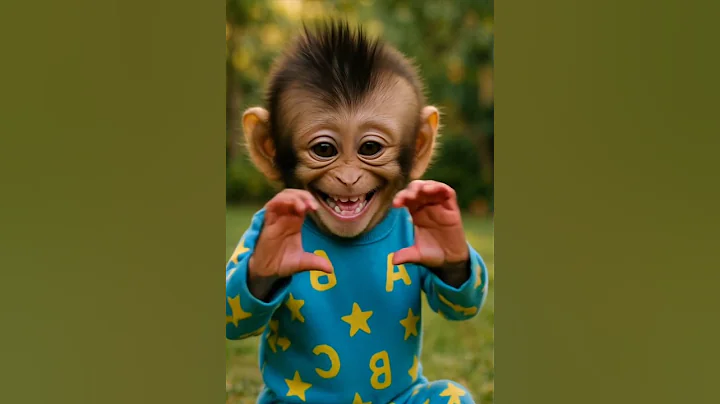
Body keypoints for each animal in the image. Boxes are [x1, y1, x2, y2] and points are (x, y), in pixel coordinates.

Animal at [226, 21, 489, 404]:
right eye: (324, 150)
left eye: (370, 148)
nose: (348, 179)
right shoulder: (256, 225)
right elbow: (235, 308)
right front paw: (274, 252)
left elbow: (459, 301)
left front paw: (441, 230)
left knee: (448, 392)